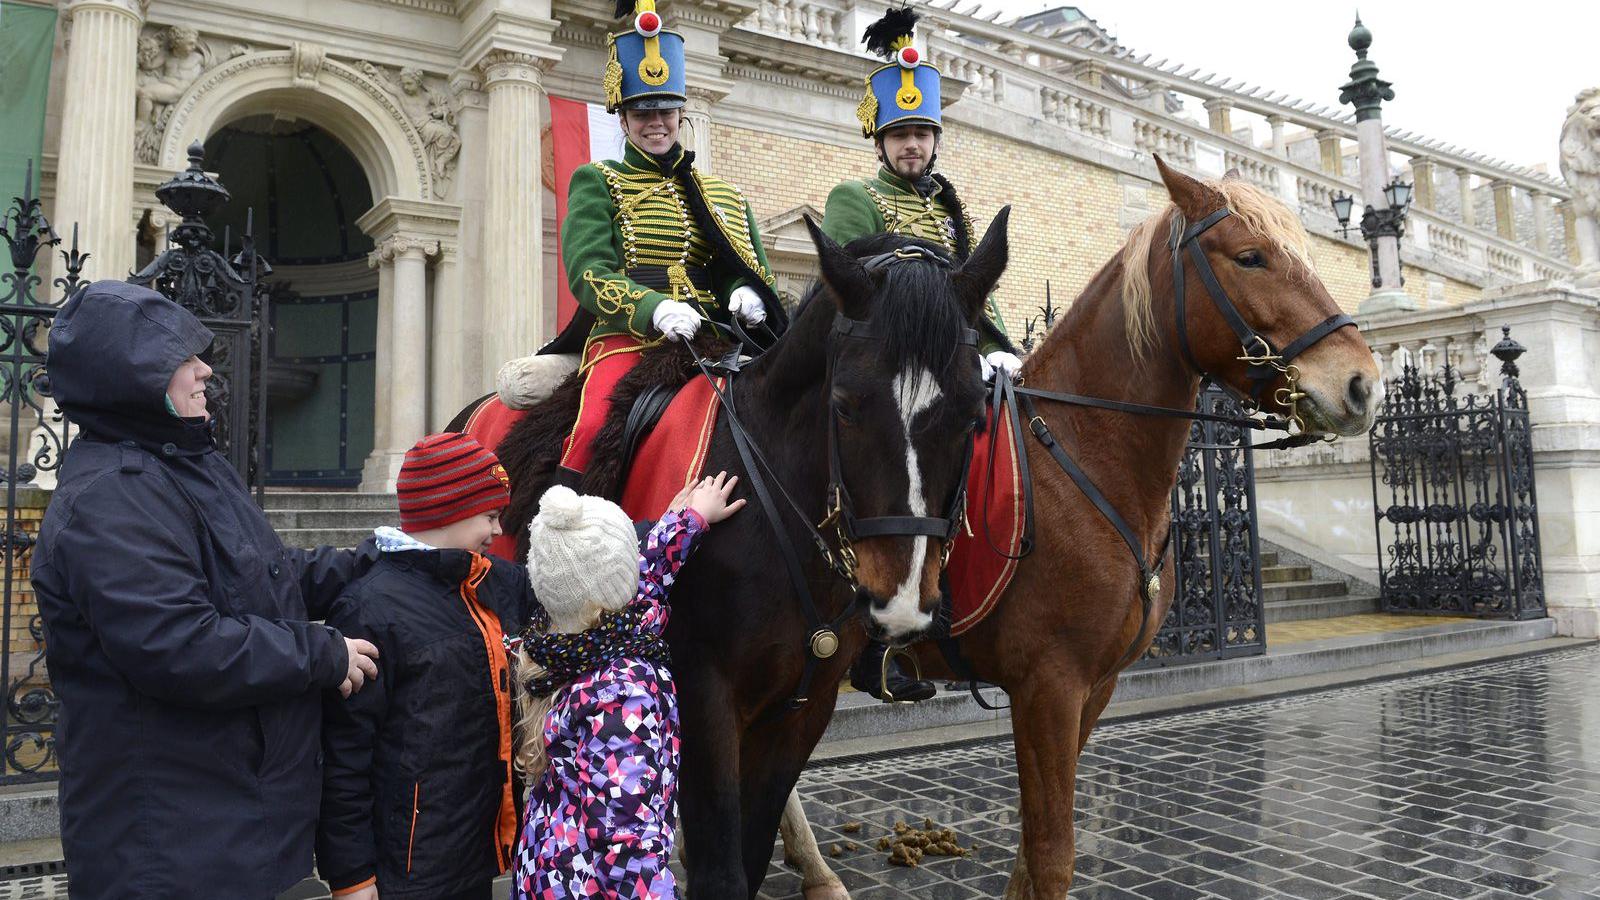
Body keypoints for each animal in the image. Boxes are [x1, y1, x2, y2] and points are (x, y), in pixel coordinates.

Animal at [460, 212, 1011, 890]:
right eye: (844, 405)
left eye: (974, 414)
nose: (903, 604)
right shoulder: (704, 696)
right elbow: (722, 863)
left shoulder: (806, 702)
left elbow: (749, 848)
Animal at [780, 157, 1382, 890]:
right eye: (1250, 257)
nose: (1362, 383)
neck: (1087, 457)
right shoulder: (1050, 686)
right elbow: (1051, 854)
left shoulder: (1095, 686)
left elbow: (1031, 849)